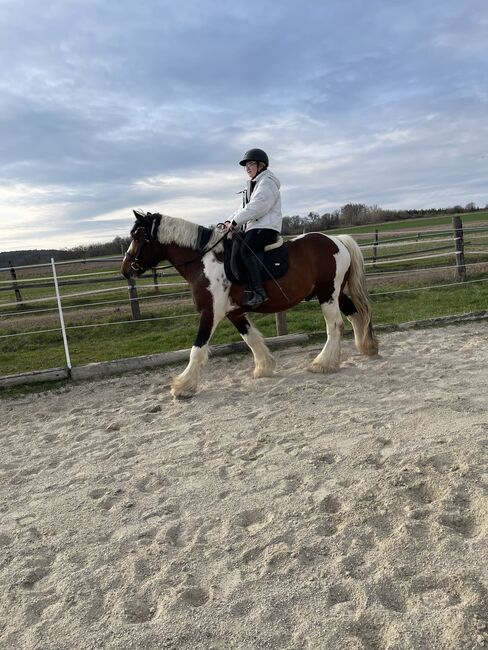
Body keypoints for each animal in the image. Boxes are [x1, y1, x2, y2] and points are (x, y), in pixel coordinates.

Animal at [121, 210, 378, 398]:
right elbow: (251, 339)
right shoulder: (234, 313)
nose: (125, 269)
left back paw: (322, 363)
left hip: (328, 293)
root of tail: (337, 240)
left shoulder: (210, 312)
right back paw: (366, 347)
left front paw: (183, 386)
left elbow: (197, 349)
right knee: (355, 316)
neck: (204, 261)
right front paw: (264, 367)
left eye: (138, 237)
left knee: (335, 326)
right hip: (334, 293)